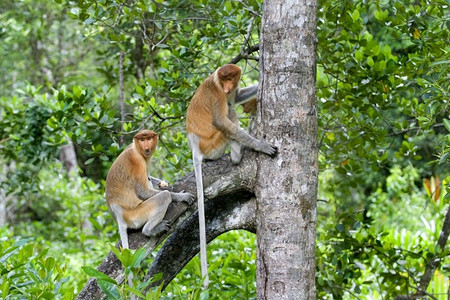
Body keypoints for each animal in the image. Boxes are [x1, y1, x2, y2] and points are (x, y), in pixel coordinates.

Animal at [185, 63, 278, 288]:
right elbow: (221, 120)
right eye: (224, 80)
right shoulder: (217, 94)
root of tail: (195, 148)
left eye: (231, 79)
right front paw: (261, 146)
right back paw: (239, 154)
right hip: (213, 144)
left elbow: (237, 97)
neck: (218, 82)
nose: (228, 87)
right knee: (230, 114)